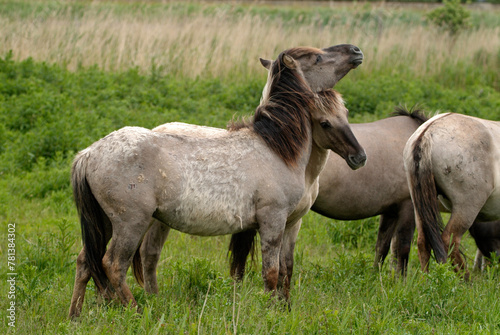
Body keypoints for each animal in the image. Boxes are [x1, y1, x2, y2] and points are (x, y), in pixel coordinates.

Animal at [68, 43, 366, 318]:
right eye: (317, 58)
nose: (356, 51)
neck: (278, 151)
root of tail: (89, 153)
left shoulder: (292, 223)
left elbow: (286, 269)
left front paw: (286, 310)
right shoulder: (273, 220)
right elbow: (271, 272)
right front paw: (270, 313)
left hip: (107, 222)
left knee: (86, 261)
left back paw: (75, 317)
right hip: (131, 223)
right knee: (113, 265)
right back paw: (138, 312)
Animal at [404, 113, 500, 278]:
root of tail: (427, 134)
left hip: (419, 206)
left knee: (423, 242)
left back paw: (426, 281)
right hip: (466, 208)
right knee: (450, 241)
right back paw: (465, 281)